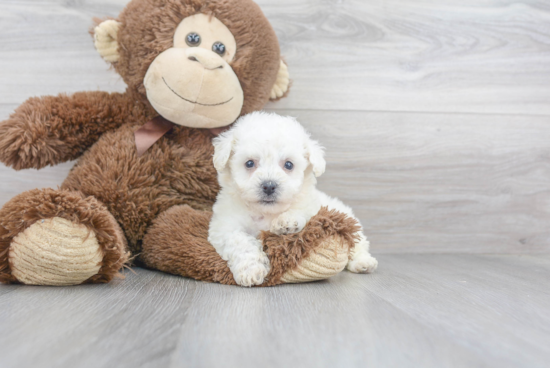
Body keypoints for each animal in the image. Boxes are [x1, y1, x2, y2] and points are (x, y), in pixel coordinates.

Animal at [208, 112, 380, 288]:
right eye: (249, 163)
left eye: (289, 165)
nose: (269, 186)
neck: (267, 212)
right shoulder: (225, 225)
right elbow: (240, 241)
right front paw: (251, 270)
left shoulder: (312, 206)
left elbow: (301, 210)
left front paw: (286, 222)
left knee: (358, 244)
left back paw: (363, 263)